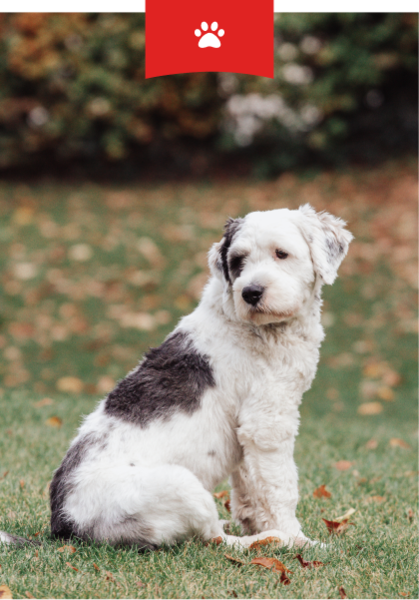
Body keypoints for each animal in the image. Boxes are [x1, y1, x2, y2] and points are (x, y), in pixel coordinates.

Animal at [1, 205, 352, 548]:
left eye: (281, 254)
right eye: (238, 260)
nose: (251, 292)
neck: (251, 325)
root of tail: (64, 526)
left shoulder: (247, 431)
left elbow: (249, 489)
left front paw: (256, 522)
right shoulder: (267, 424)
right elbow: (280, 488)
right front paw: (298, 539)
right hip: (182, 483)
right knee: (214, 539)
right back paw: (270, 540)